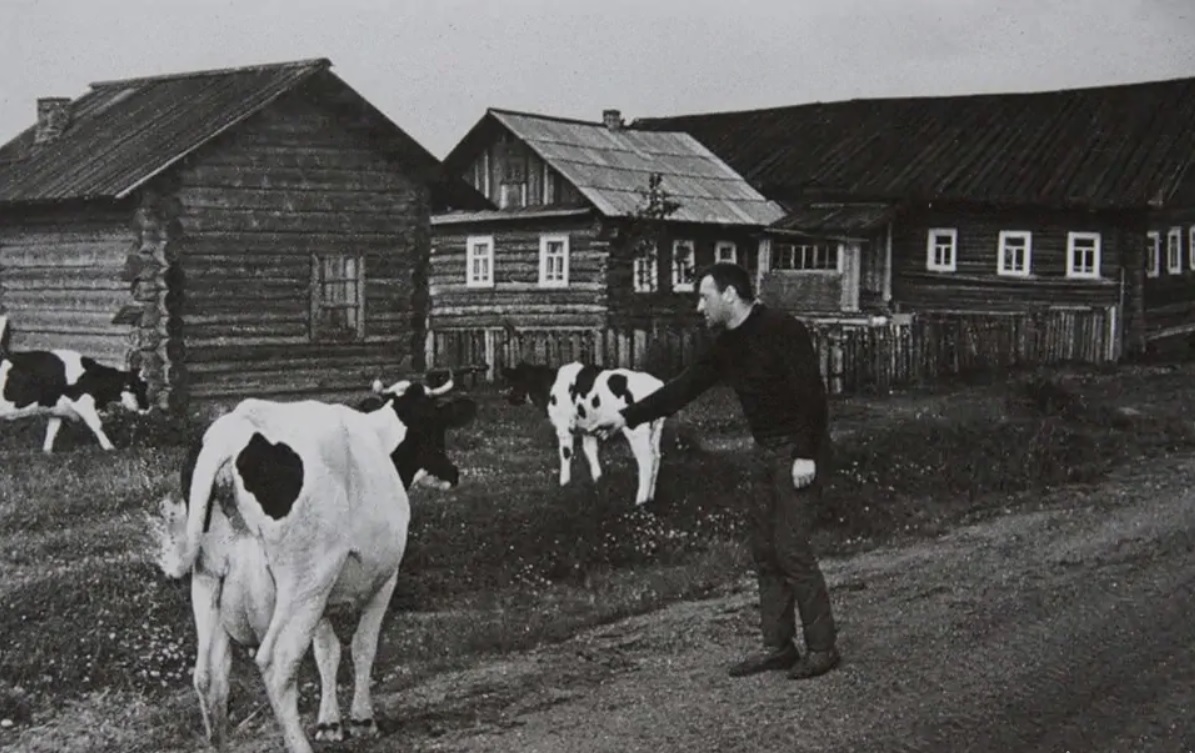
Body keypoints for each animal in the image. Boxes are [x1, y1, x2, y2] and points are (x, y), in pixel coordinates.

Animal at [0, 337, 151, 454]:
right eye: (138, 388)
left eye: (146, 386)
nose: (148, 408)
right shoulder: (82, 402)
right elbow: (97, 425)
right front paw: (110, 447)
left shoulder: (57, 409)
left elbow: (52, 430)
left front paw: (47, 452)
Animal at [152, 377, 475, 753]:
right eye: (436, 427)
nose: (453, 473)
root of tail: (235, 428)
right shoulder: (383, 580)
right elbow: (363, 646)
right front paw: (363, 720)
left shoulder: (322, 598)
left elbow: (326, 652)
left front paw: (330, 723)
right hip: (303, 578)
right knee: (277, 662)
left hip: (212, 580)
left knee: (208, 674)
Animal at [497, 360, 669, 506]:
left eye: (516, 379)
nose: (508, 398)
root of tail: (655, 384)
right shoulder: (588, 428)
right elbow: (590, 451)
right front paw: (597, 480)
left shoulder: (564, 426)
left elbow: (566, 453)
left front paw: (564, 483)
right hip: (656, 429)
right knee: (656, 457)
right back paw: (650, 497)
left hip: (637, 430)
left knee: (646, 460)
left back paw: (640, 501)